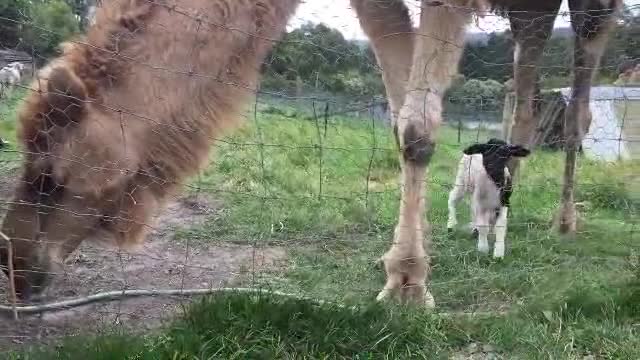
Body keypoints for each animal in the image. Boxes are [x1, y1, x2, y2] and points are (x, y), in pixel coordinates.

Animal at [0, 1, 620, 308]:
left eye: (51, 173)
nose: (16, 266)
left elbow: (419, 126)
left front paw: (409, 285)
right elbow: (403, 109)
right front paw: (404, 266)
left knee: (581, 89)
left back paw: (562, 218)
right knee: (524, 83)